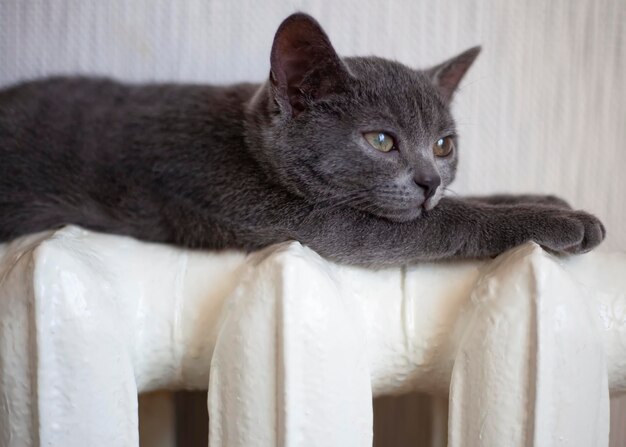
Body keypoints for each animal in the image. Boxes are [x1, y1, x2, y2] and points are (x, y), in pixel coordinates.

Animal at [0, 13, 604, 266]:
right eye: (381, 140)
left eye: (443, 145)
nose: (430, 181)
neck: (246, 144)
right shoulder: (296, 221)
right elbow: (447, 221)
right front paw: (562, 221)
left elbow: (455, 204)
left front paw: (546, 198)